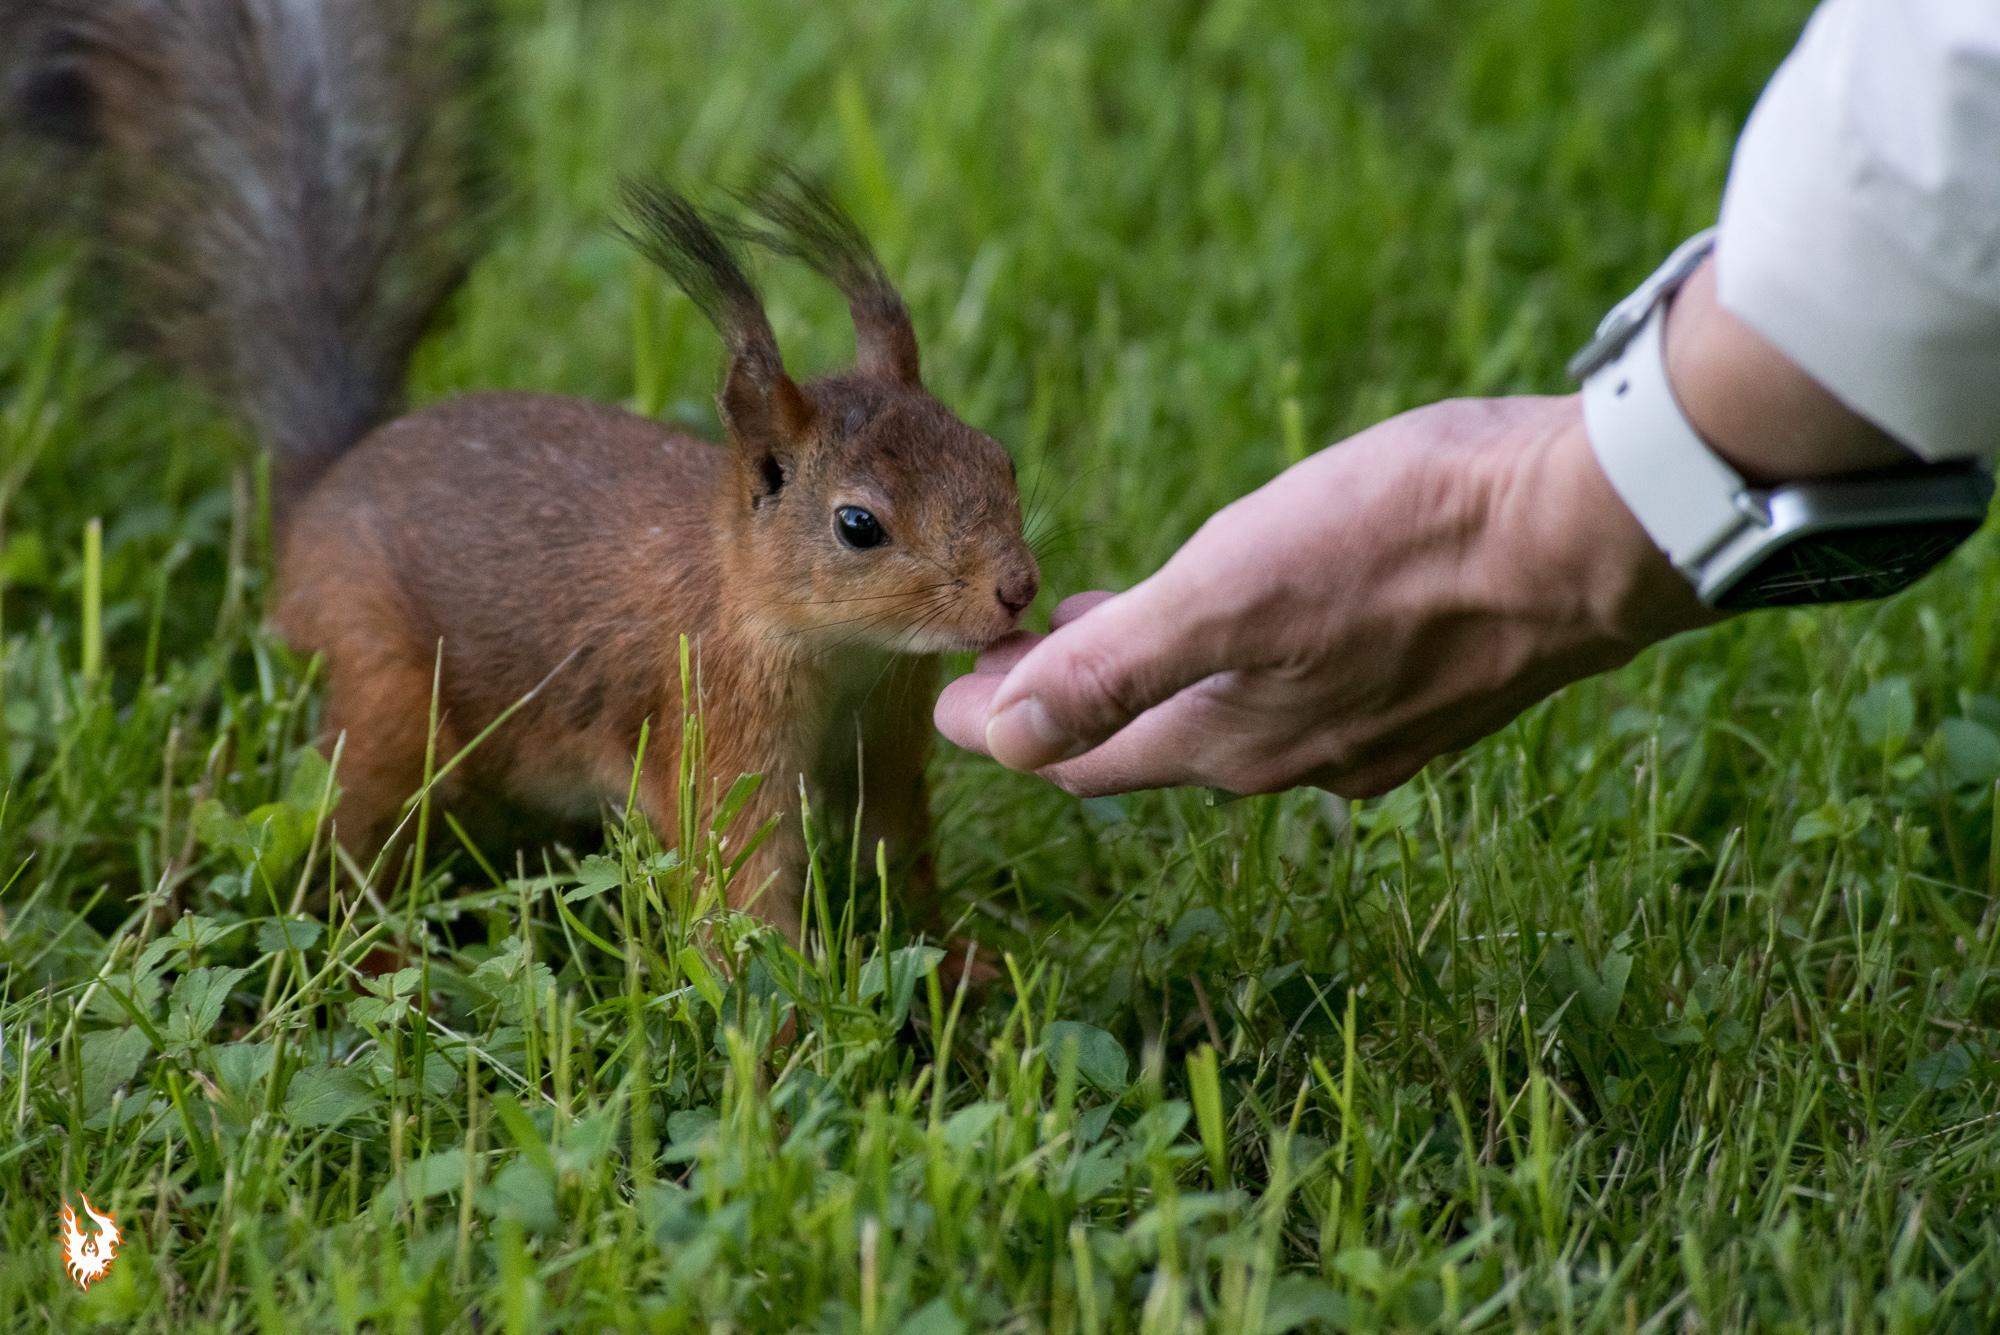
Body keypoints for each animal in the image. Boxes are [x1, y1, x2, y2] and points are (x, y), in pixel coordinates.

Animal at [15, 0, 1040, 943]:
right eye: (858, 525)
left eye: (999, 456)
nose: (1017, 588)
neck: (844, 654)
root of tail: (321, 486)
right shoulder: (711, 726)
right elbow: (738, 887)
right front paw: (784, 1010)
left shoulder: (885, 738)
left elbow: (895, 851)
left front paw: (958, 962)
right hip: (385, 688)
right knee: (349, 839)